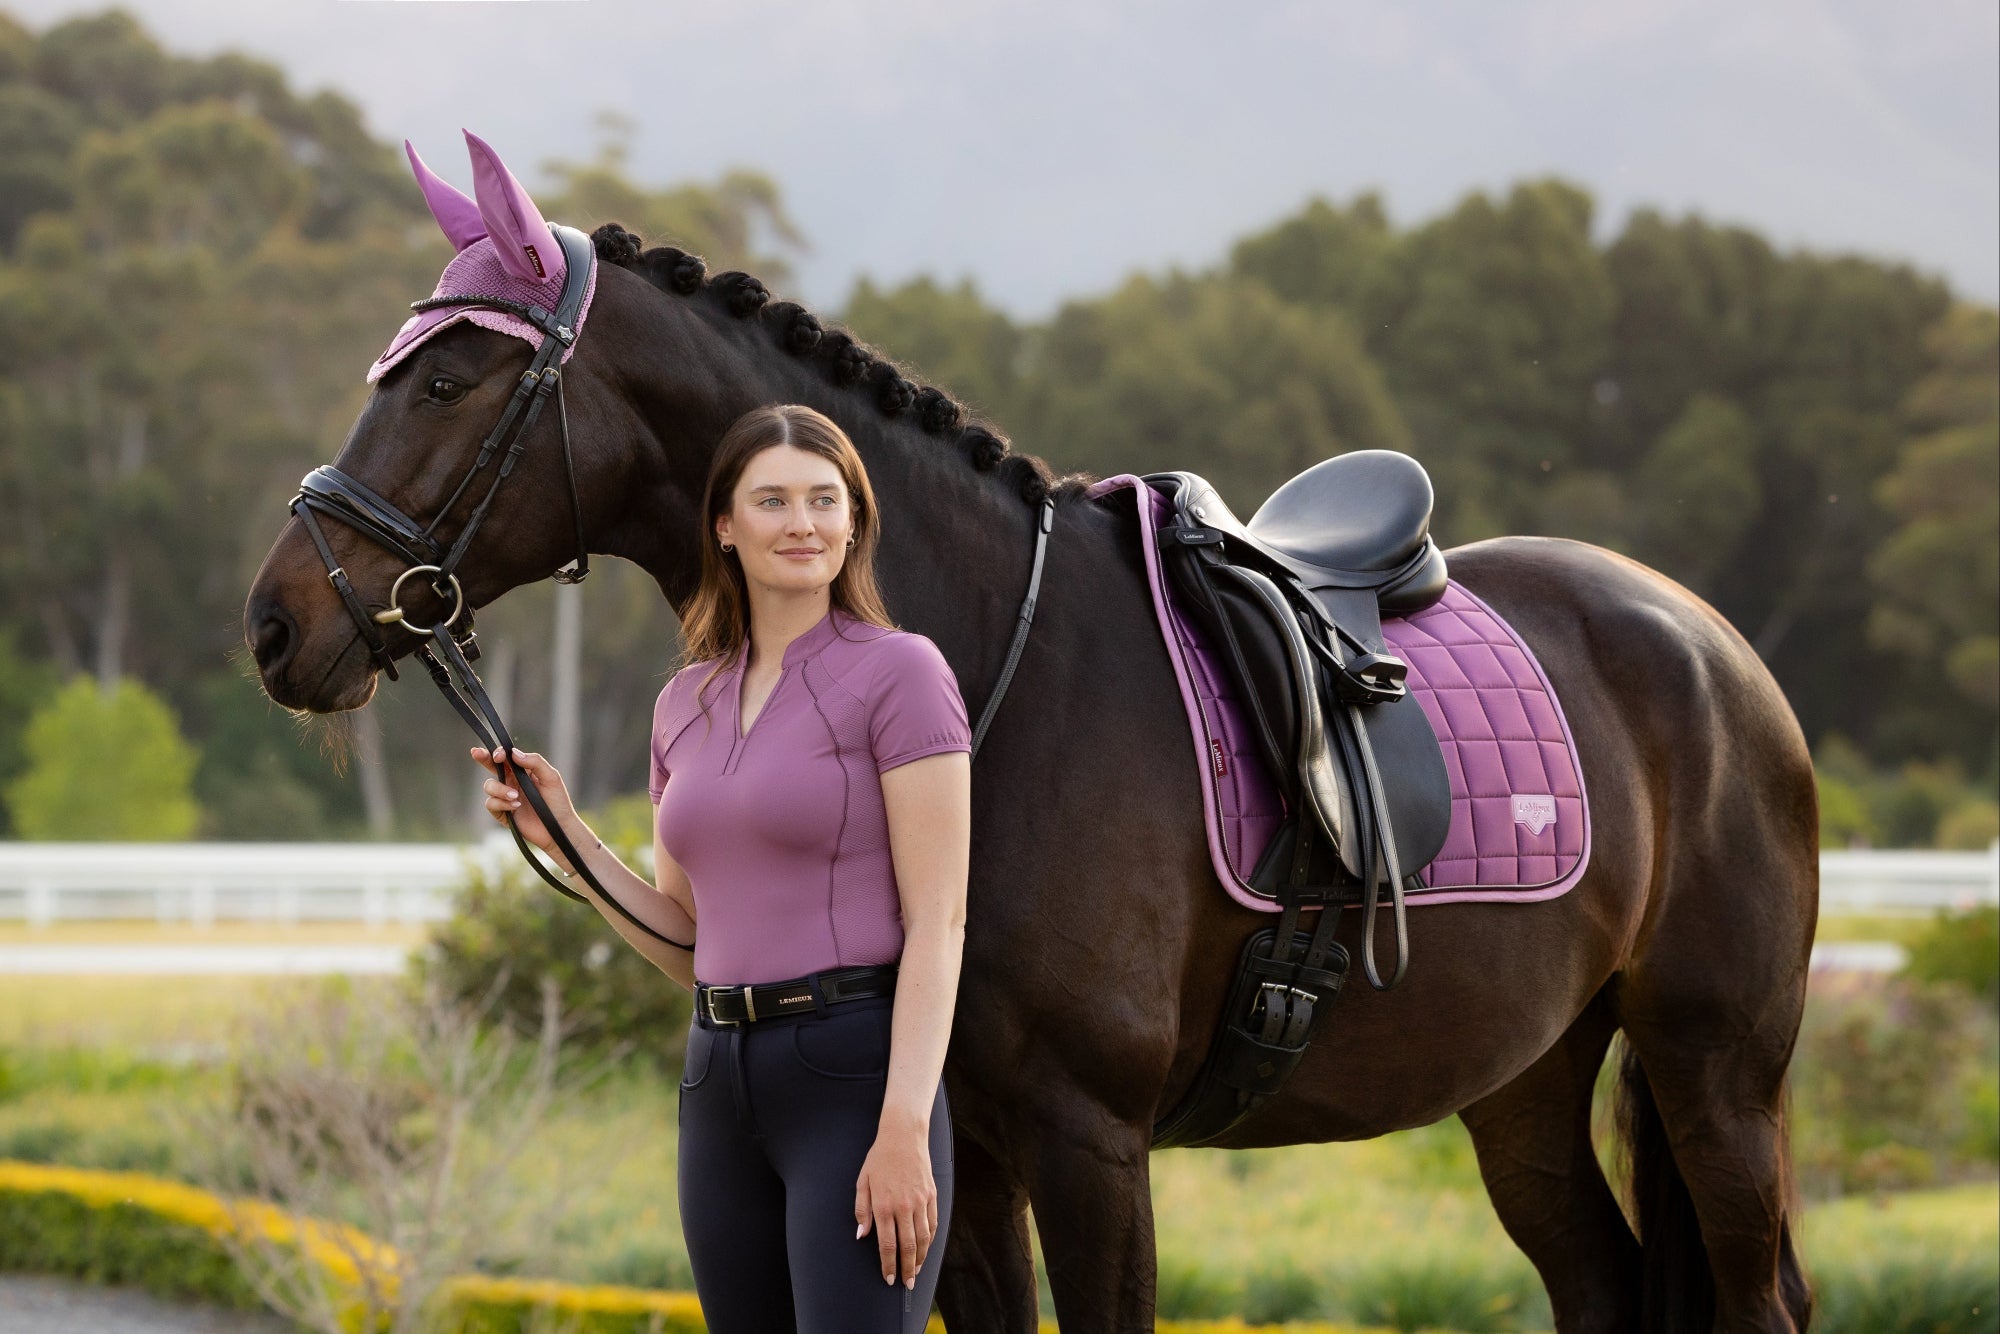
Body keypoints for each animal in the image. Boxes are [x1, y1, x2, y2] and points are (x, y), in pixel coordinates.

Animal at [245, 182, 1818, 1333]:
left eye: (448, 377)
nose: (276, 621)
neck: (991, 675)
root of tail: (1713, 651)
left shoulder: (1089, 1142)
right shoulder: (956, 1153)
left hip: (1716, 1076)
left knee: (1760, 1295)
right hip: (1528, 1080)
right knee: (1601, 1282)